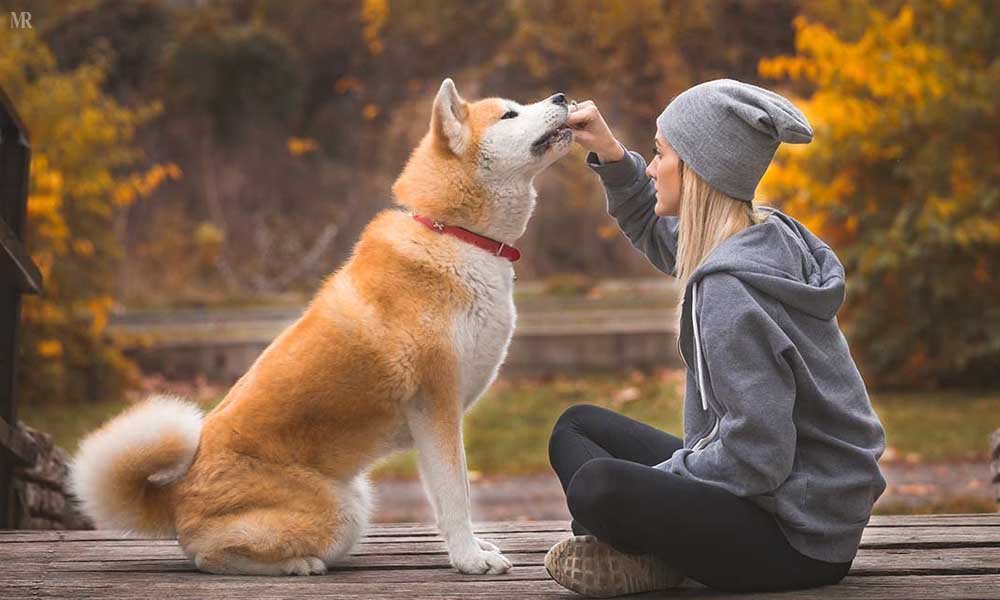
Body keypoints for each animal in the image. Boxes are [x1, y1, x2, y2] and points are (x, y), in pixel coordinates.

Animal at [68, 79, 572, 576]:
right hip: (342, 512)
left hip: (356, 498)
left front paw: (474, 549)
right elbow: (455, 496)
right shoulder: (436, 407)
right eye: (509, 114)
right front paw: (469, 560)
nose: (563, 97)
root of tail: (174, 496)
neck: (453, 233)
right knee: (208, 555)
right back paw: (298, 564)